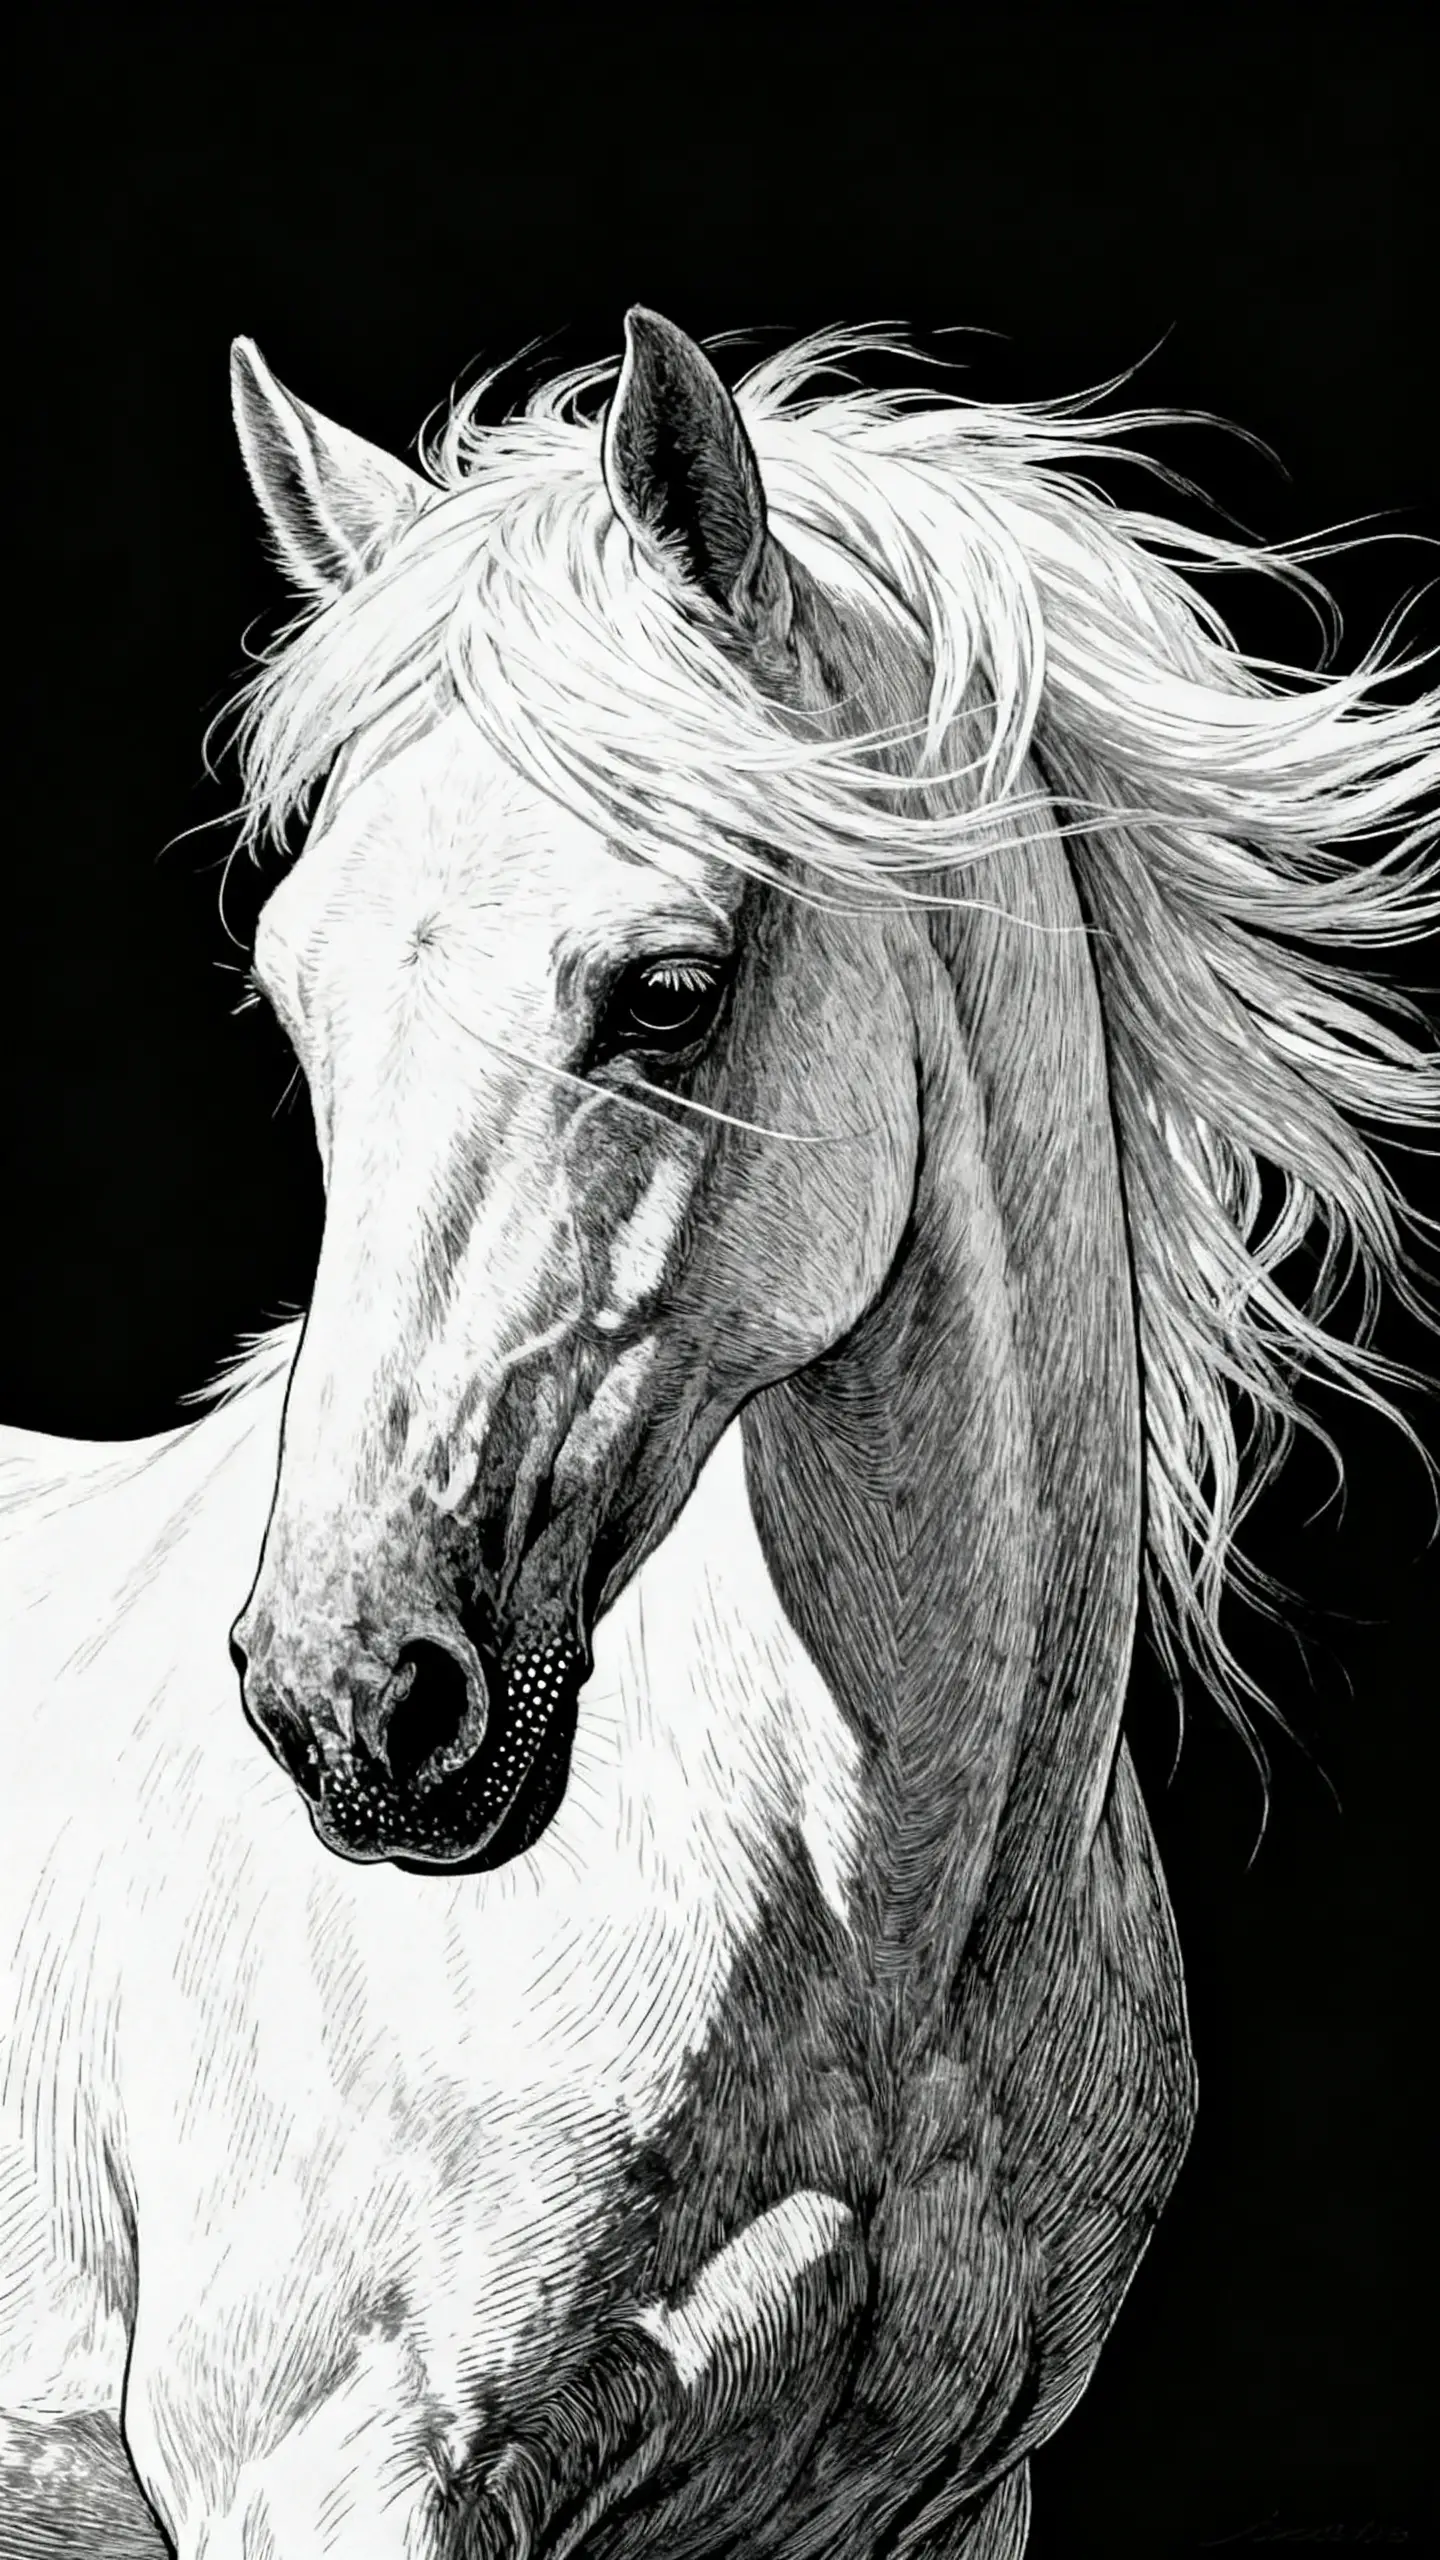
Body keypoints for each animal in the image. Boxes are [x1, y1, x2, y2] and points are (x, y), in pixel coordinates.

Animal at [2, 306, 1436, 2560]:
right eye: (301, 999)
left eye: (668, 991)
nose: (348, 1701)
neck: (867, 1937)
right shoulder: (330, 2480)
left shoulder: (946, 2509)